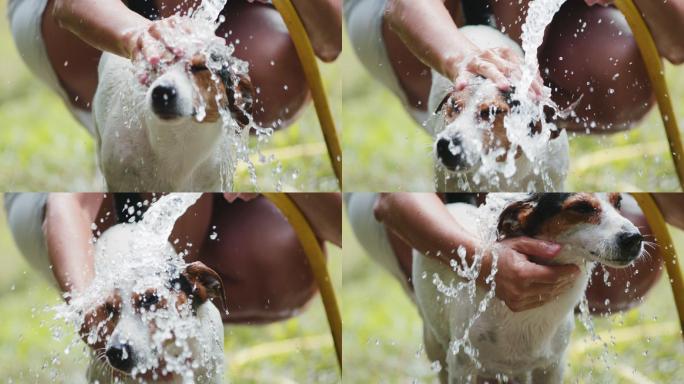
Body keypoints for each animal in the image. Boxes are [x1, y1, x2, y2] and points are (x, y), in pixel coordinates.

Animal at [414, 194, 644, 382]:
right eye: (581, 207)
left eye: (619, 202)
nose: (635, 238)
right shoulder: (462, 363)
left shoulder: (552, 366)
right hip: (435, 343)